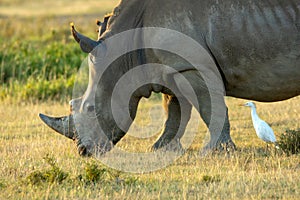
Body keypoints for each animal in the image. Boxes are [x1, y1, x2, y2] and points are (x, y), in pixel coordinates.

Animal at [40, 0, 300, 156]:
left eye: (90, 108)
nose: (83, 151)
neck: (125, 53)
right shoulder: (172, 68)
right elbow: (174, 112)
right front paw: (160, 149)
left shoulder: (191, 67)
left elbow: (210, 108)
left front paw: (216, 151)